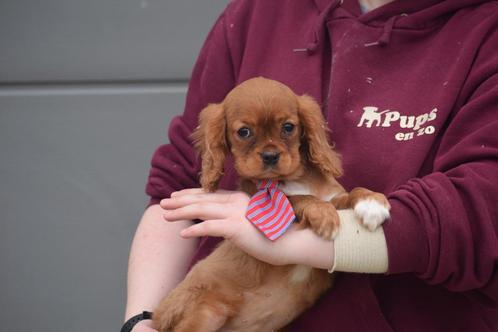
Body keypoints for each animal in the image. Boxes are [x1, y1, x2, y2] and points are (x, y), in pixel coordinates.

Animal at [154, 78, 392, 332]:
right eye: (244, 132)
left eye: (288, 127)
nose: (270, 156)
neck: (293, 179)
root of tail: (158, 315)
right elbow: (295, 199)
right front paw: (322, 213)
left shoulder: (334, 197)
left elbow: (350, 193)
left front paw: (371, 202)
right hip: (205, 315)